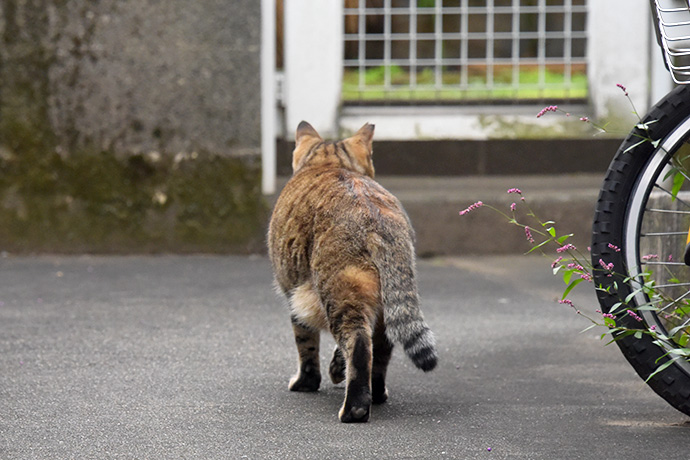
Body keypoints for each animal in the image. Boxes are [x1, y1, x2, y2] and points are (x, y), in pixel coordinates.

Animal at [266, 120, 432, 422]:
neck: (328, 163)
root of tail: (377, 219)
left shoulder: (295, 295)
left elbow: (305, 342)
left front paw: (306, 382)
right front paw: (335, 368)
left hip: (338, 292)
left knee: (358, 345)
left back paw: (354, 408)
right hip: (387, 304)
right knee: (380, 349)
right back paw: (377, 394)